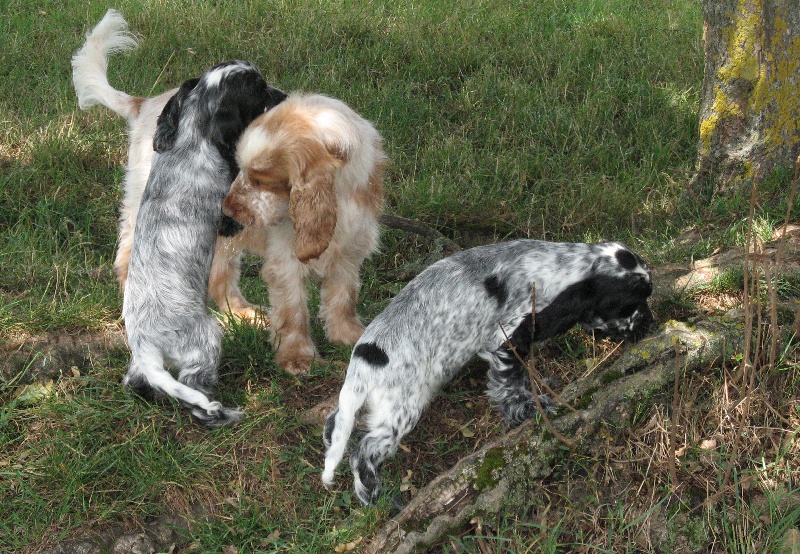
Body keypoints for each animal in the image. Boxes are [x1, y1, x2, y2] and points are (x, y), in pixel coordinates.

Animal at [119, 60, 282, 426]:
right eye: (260, 89)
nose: (283, 95)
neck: (191, 141)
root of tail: (144, 343)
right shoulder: (227, 209)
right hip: (206, 339)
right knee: (193, 388)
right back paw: (220, 412)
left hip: (143, 366)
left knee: (138, 383)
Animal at [322, 239, 652, 502]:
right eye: (630, 303)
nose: (650, 325)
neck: (559, 268)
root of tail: (365, 359)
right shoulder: (507, 341)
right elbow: (511, 385)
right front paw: (528, 408)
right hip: (401, 410)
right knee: (363, 449)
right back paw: (369, 489)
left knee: (336, 421)